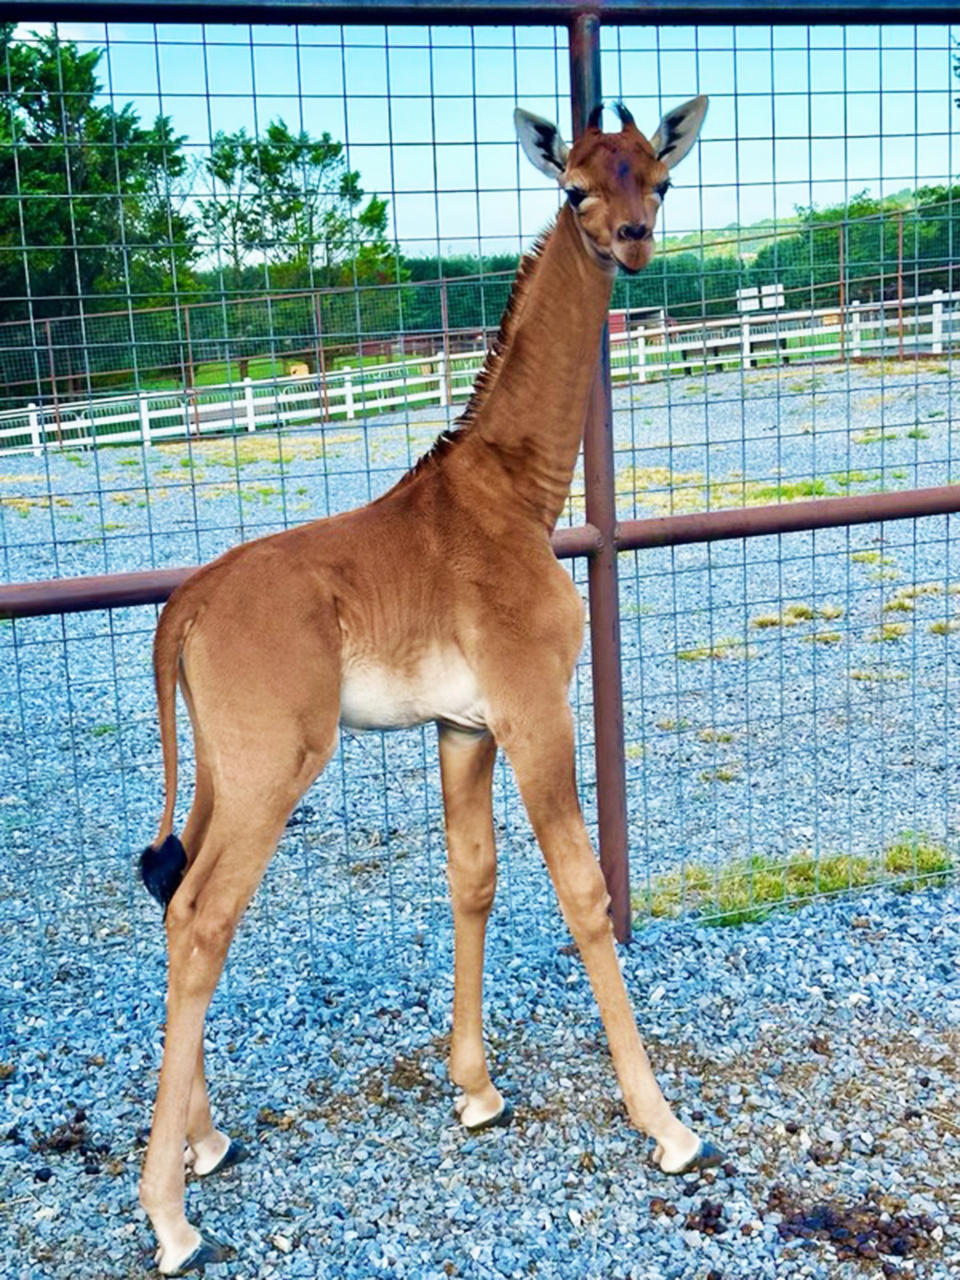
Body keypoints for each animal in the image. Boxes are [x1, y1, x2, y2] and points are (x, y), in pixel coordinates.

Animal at [138, 94, 716, 1274]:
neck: (519, 495)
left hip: (220, 767)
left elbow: (473, 878)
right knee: (203, 919)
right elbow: (584, 891)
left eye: (660, 179)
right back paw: (171, 1216)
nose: (633, 243)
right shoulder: (536, 709)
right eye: (575, 190)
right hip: (274, 767)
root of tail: (186, 607)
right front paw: (669, 1127)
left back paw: (207, 1140)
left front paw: (478, 1090)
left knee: (175, 896)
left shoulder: (463, 725)